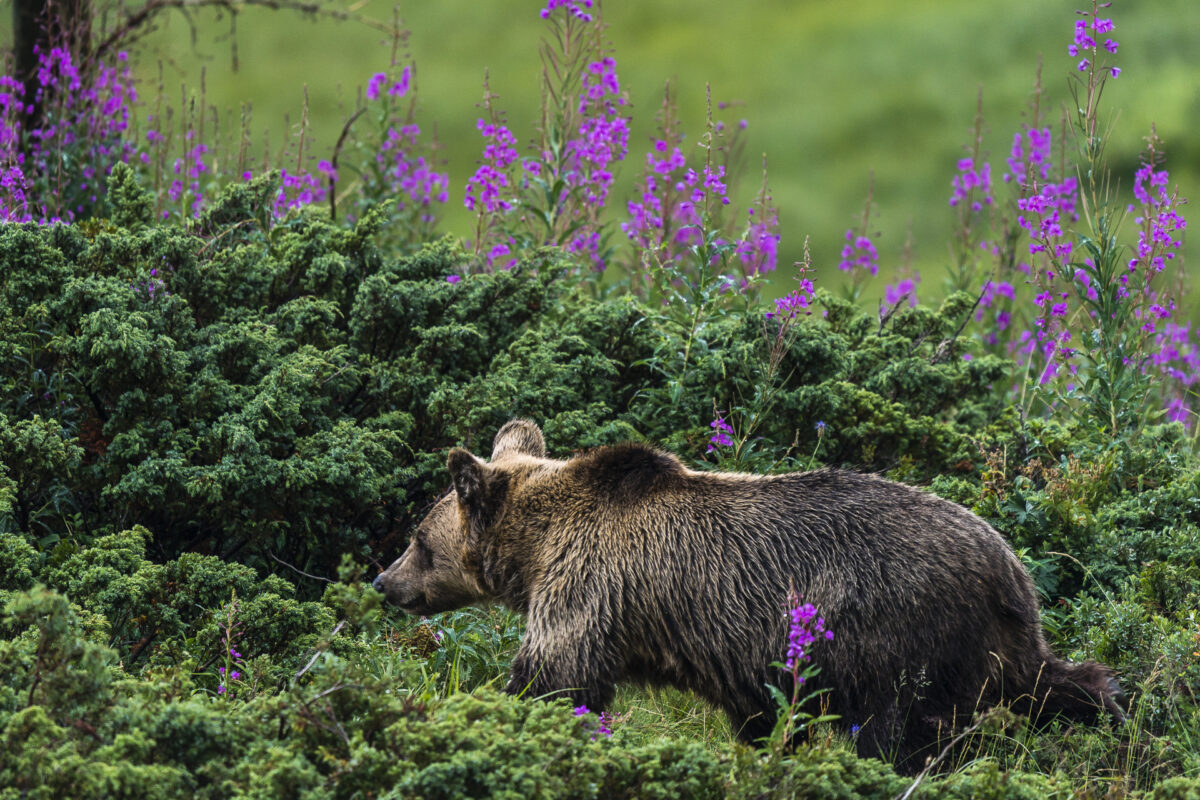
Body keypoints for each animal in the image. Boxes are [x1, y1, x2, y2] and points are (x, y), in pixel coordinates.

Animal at [374, 422, 1123, 772]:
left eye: (418, 539)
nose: (384, 582)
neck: (535, 549)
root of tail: (1012, 571)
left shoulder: (589, 588)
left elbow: (557, 676)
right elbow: (762, 714)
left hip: (900, 630)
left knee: (906, 731)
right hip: (993, 643)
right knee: (1056, 681)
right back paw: (1111, 707)